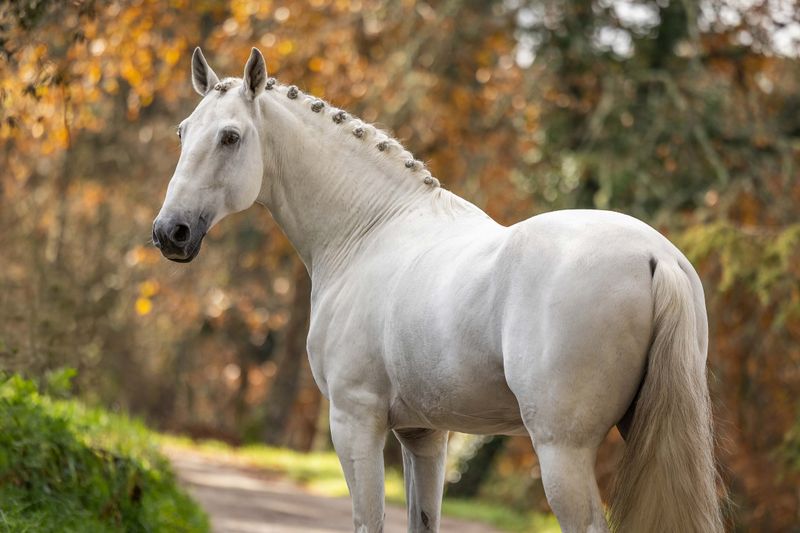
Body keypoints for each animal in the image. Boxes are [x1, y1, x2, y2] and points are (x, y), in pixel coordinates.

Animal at [152, 47, 723, 533]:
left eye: (230, 137)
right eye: (182, 132)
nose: (169, 233)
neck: (368, 231)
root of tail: (655, 257)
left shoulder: (355, 420)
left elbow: (369, 521)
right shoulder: (423, 434)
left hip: (562, 450)